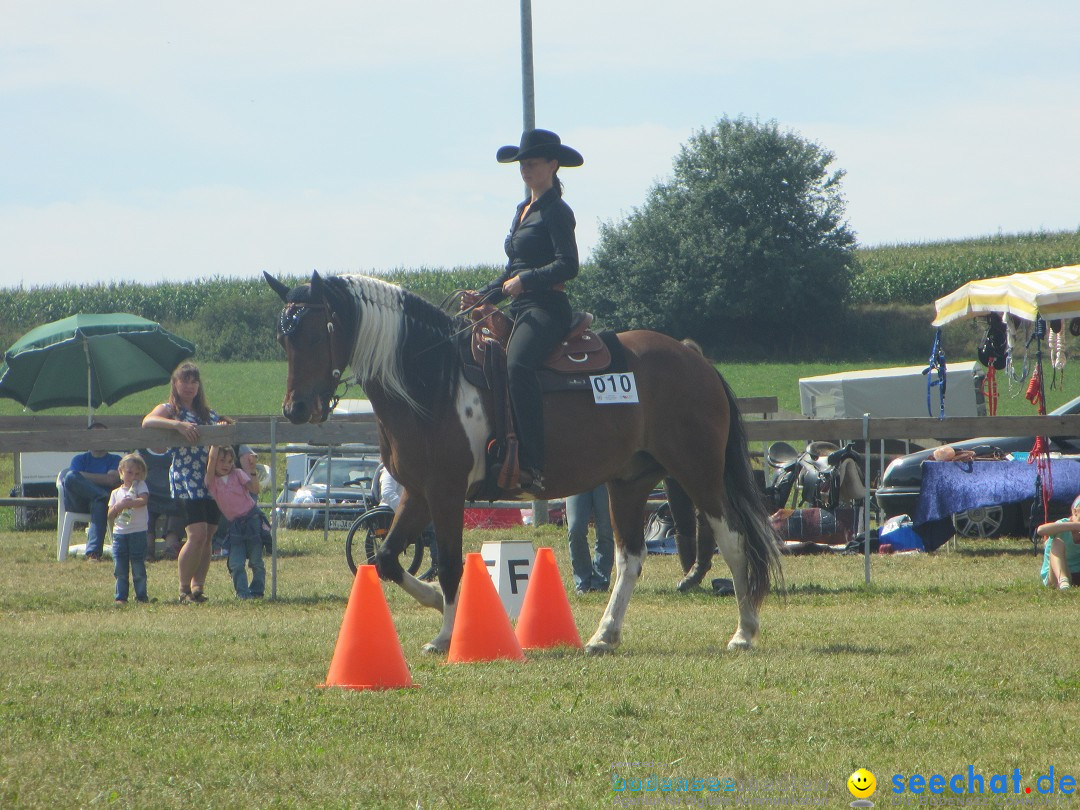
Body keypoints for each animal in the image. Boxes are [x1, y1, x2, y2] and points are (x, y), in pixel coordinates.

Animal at [265, 270, 781, 656]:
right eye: (283, 339)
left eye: (313, 332)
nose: (295, 409)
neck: (431, 379)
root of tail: (695, 360)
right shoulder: (418, 492)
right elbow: (387, 558)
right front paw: (434, 604)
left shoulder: (446, 492)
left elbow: (448, 564)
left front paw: (448, 635)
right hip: (630, 481)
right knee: (629, 558)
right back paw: (604, 636)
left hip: (698, 473)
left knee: (733, 541)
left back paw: (744, 631)